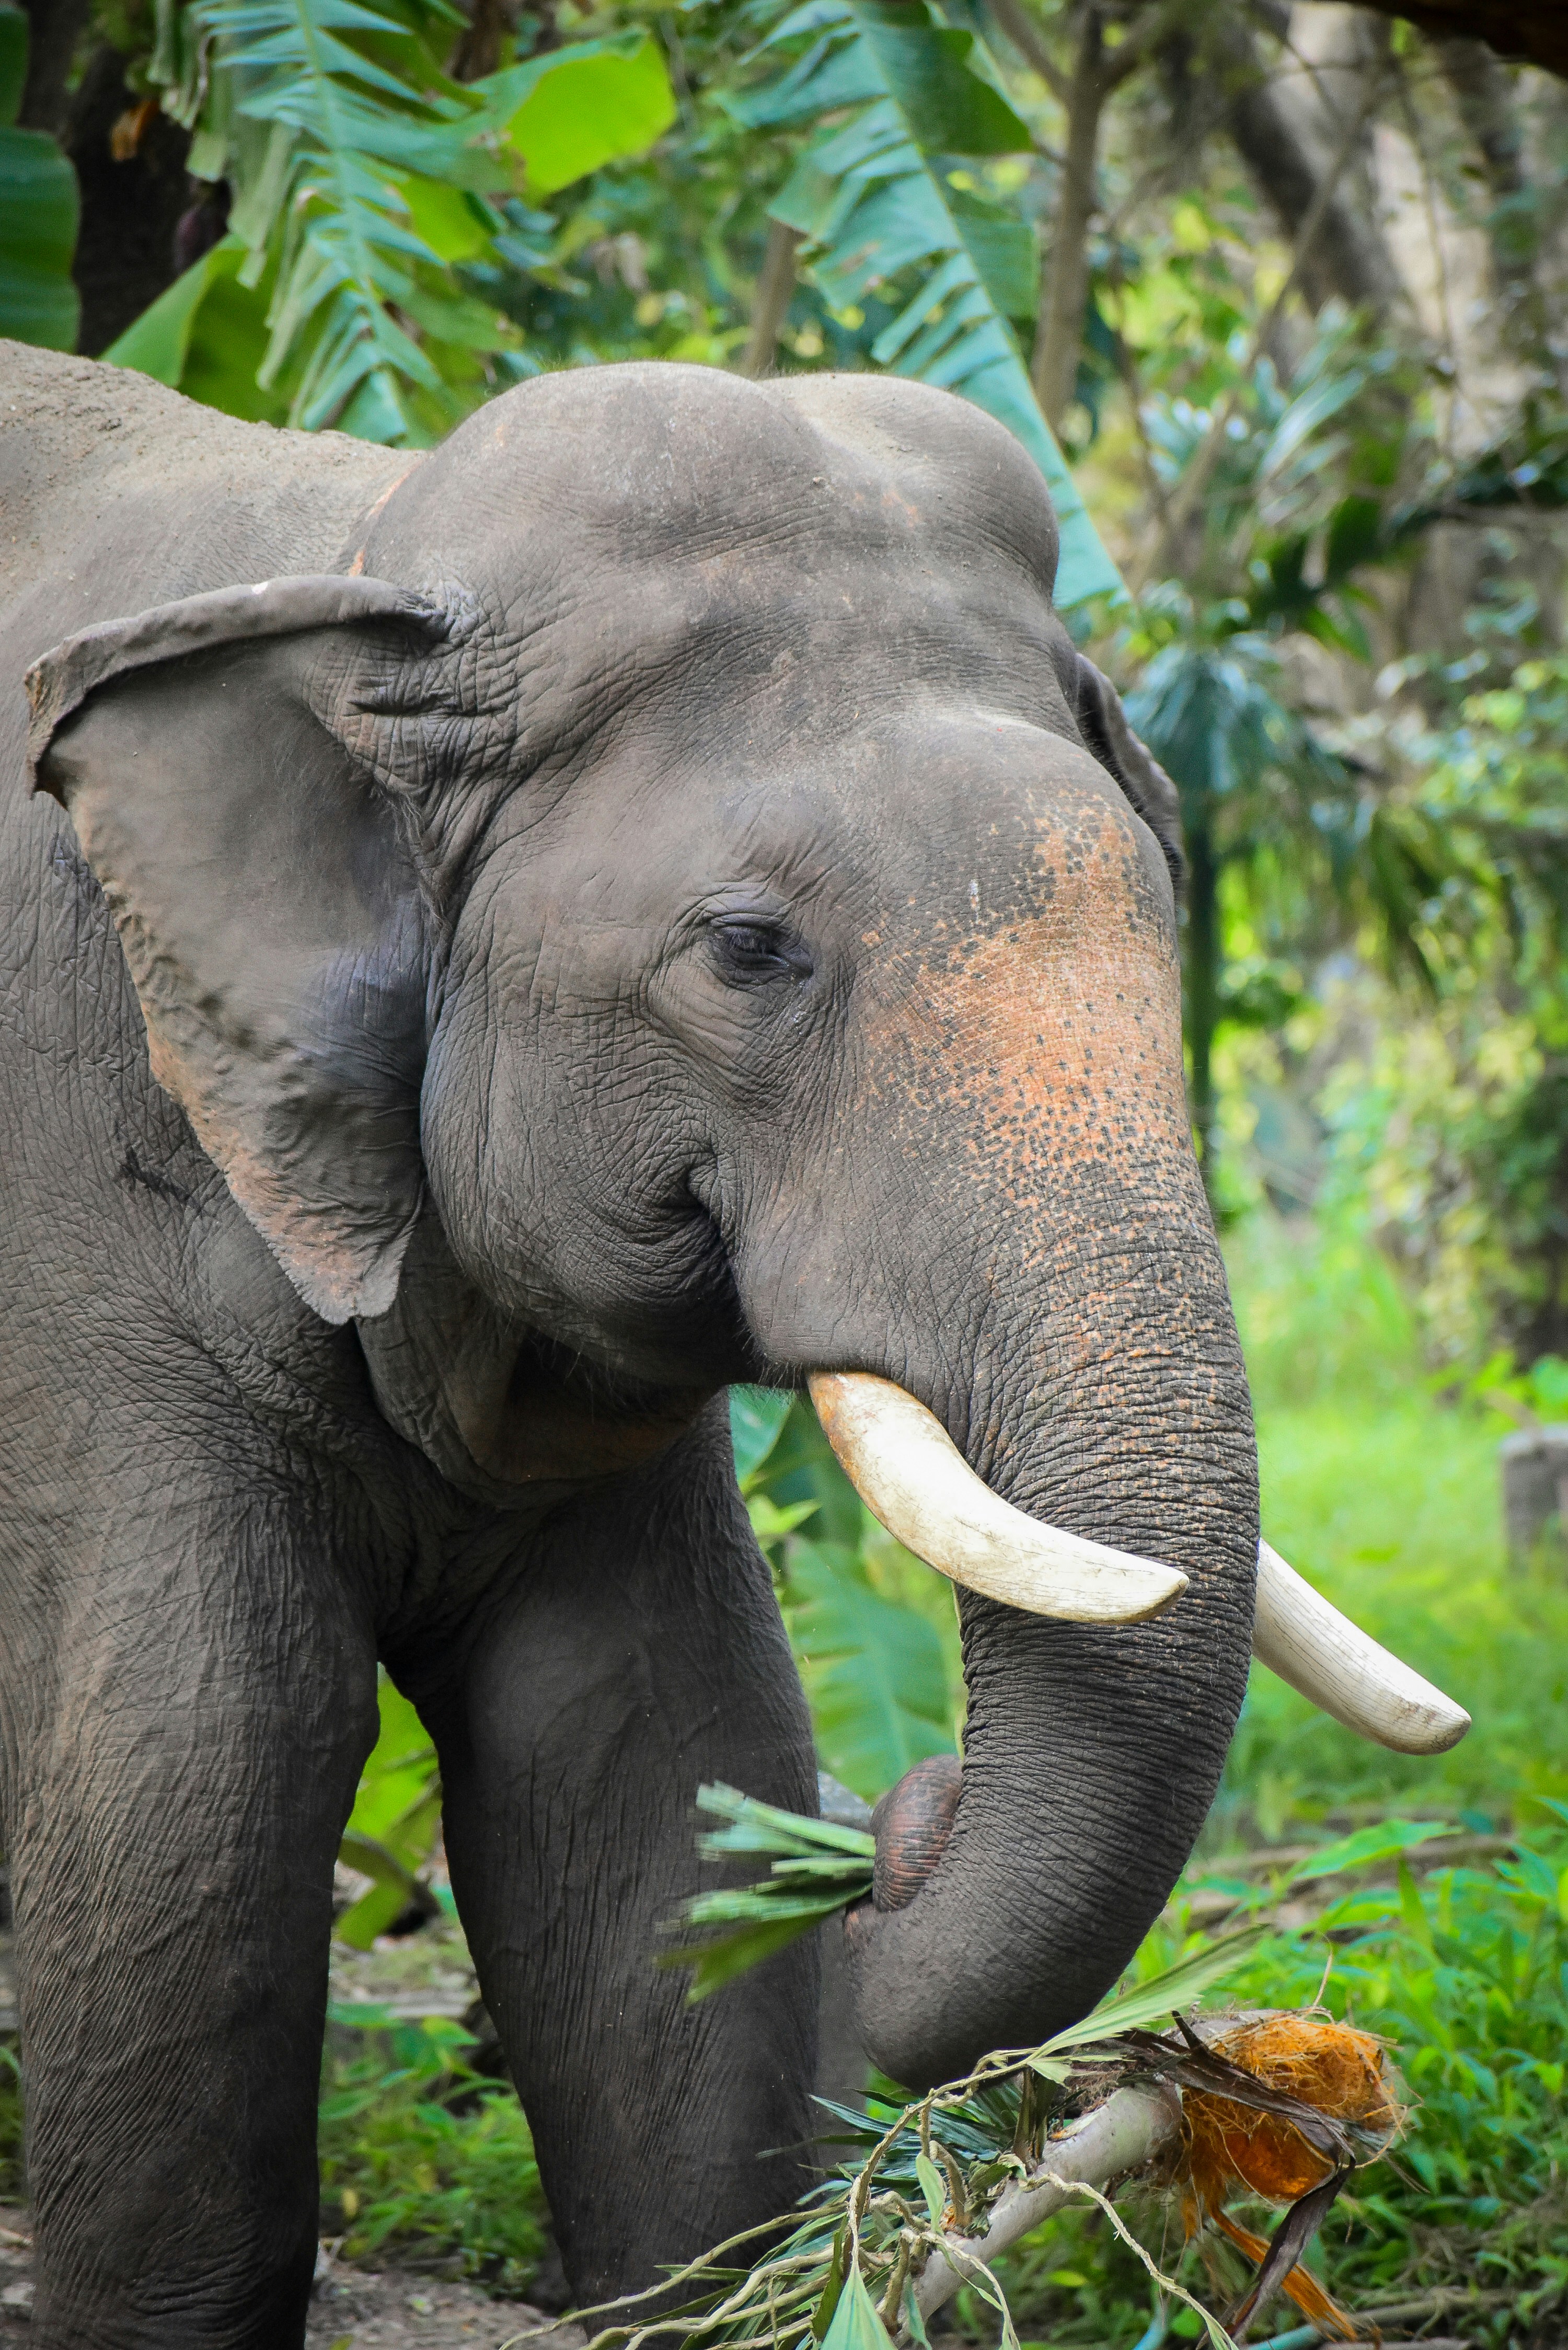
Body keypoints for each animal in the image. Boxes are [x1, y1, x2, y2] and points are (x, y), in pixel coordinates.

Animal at [0, 338, 1462, 2349]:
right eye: (748, 950)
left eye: (1167, 905)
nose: (903, 1811)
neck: (366, 544)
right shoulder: (81, 1230)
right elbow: (194, 1778)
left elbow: (654, 1762)